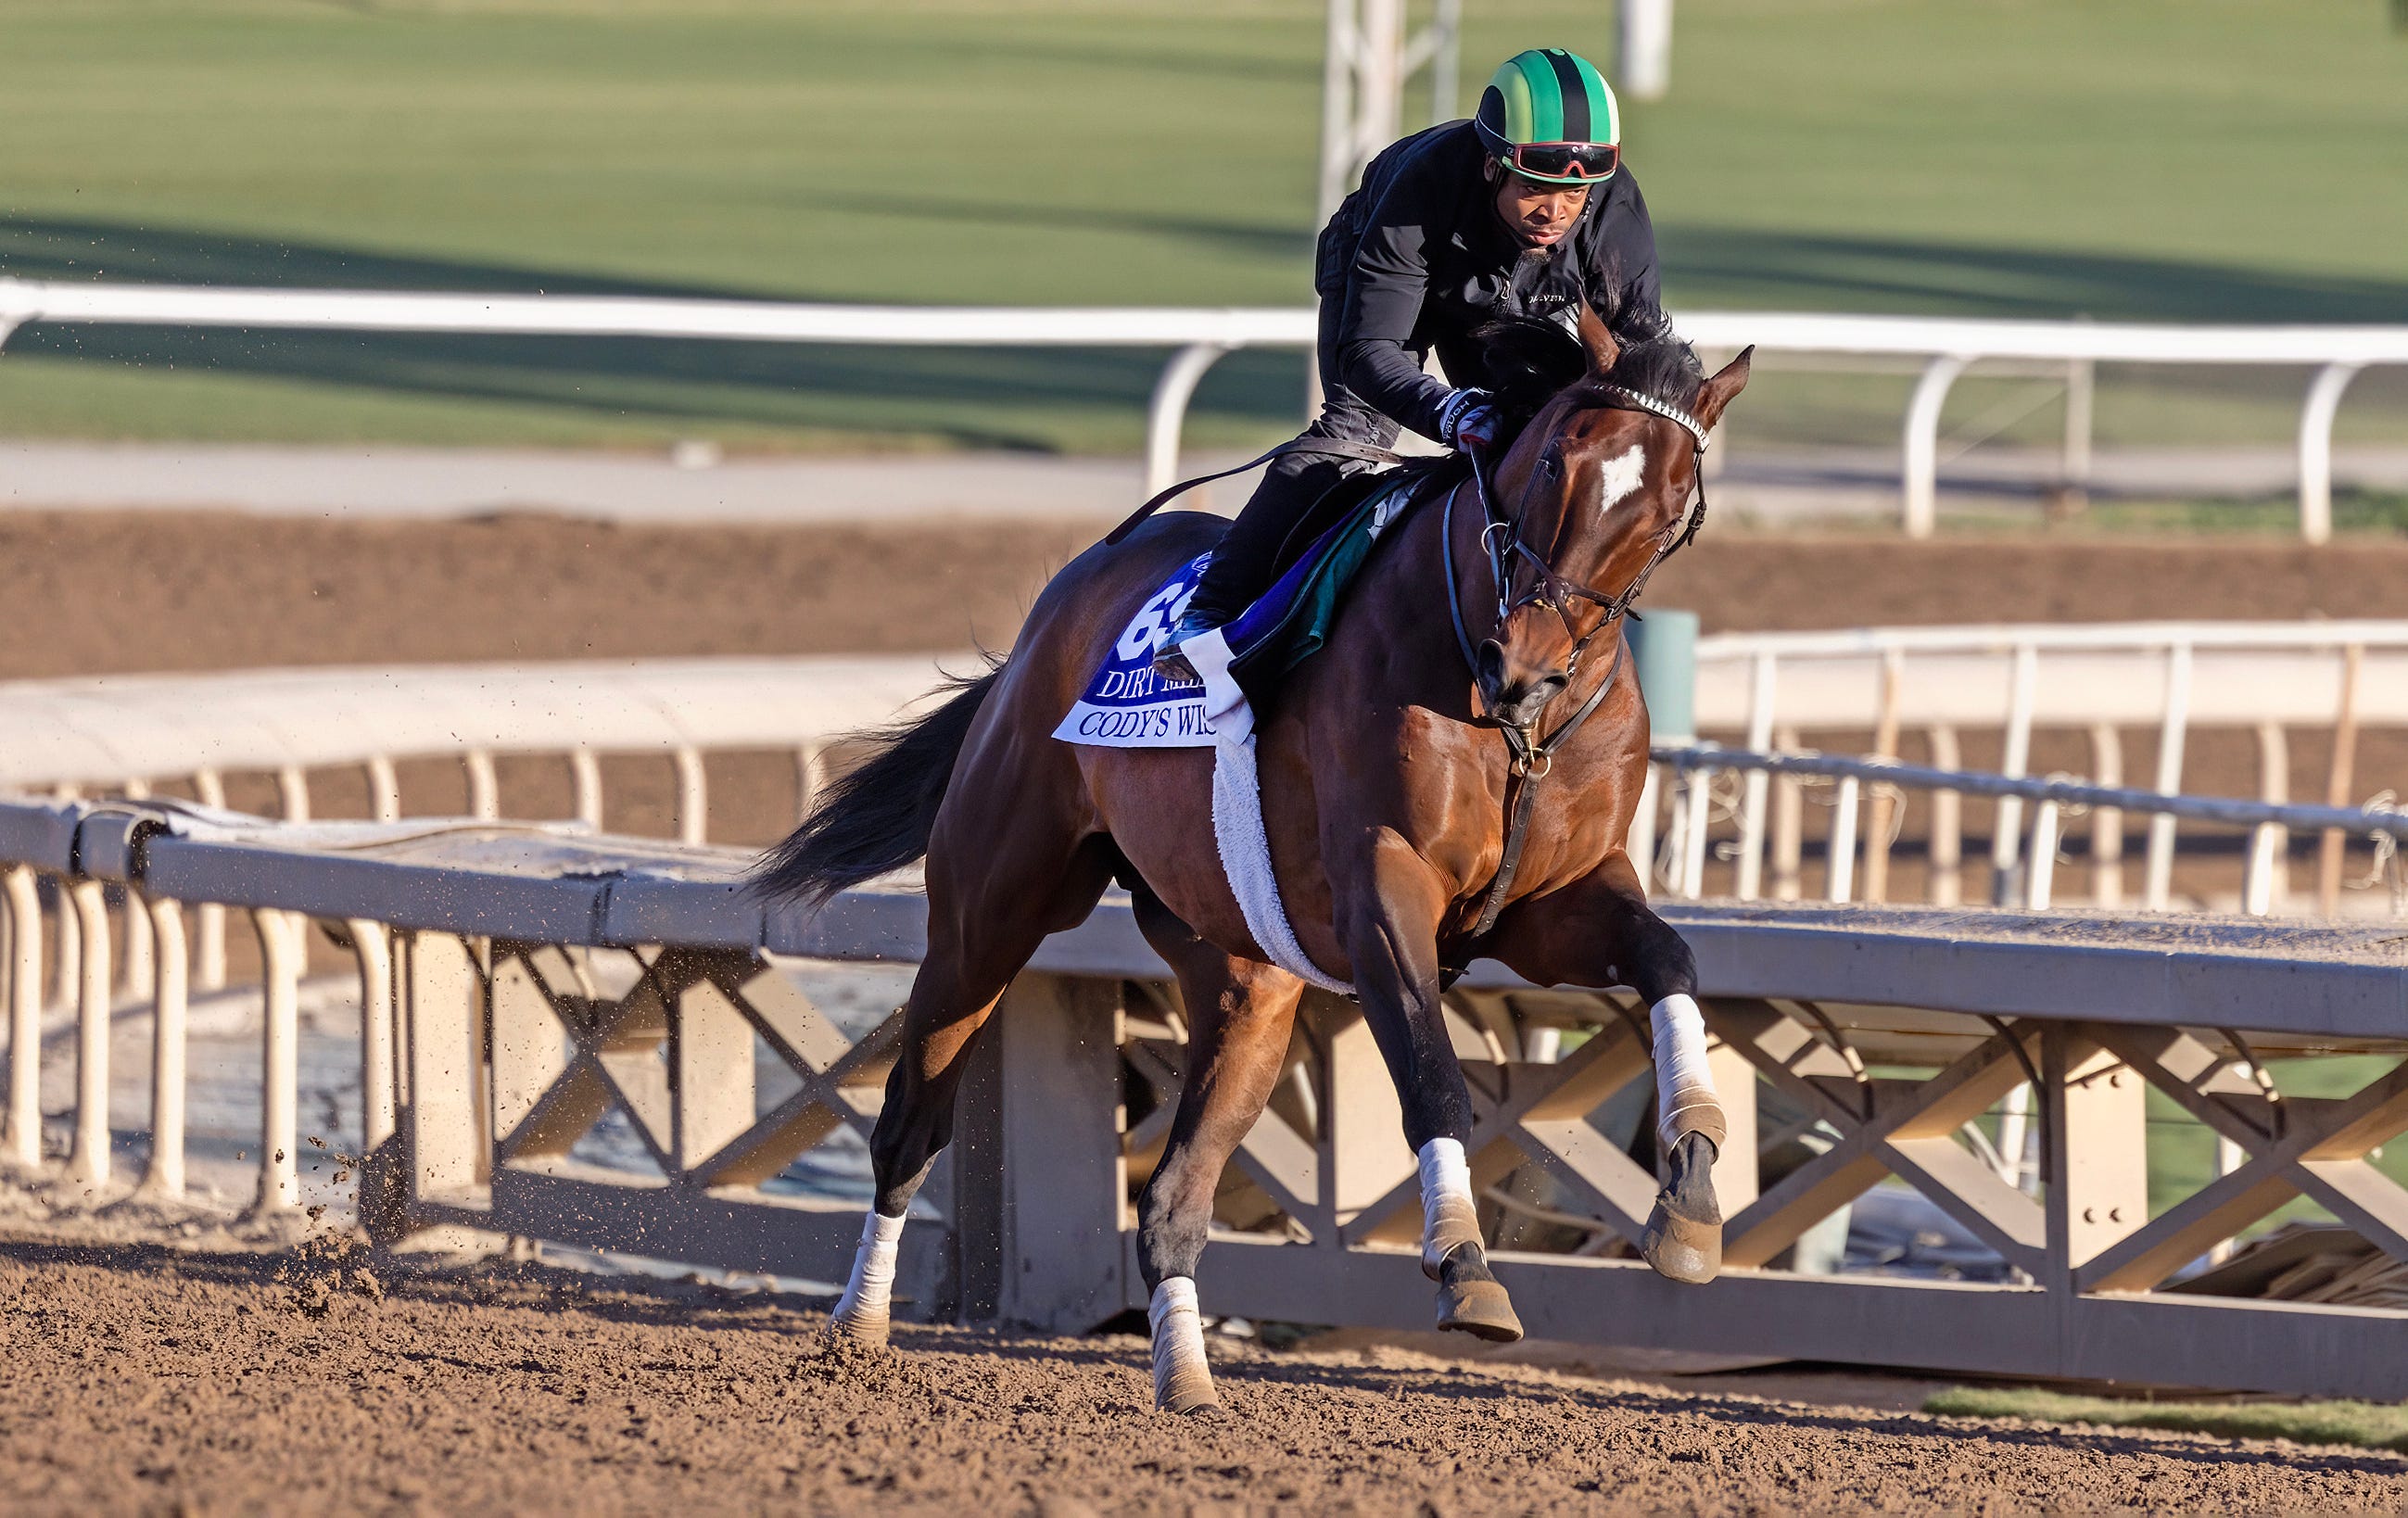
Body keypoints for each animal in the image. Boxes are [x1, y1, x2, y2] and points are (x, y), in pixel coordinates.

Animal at [760, 306, 1762, 1416]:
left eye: (1670, 510)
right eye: (1553, 460)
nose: (1524, 667)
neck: (1507, 723)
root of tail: (1053, 611)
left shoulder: (1551, 902)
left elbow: (1670, 961)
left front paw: (1692, 1191)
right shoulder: (1383, 895)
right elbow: (1431, 1073)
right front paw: (1464, 1264)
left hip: (1246, 979)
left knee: (1172, 1200)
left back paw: (1188, 1381)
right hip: (990, 911)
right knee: (912, 1120)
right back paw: (858, 1328)